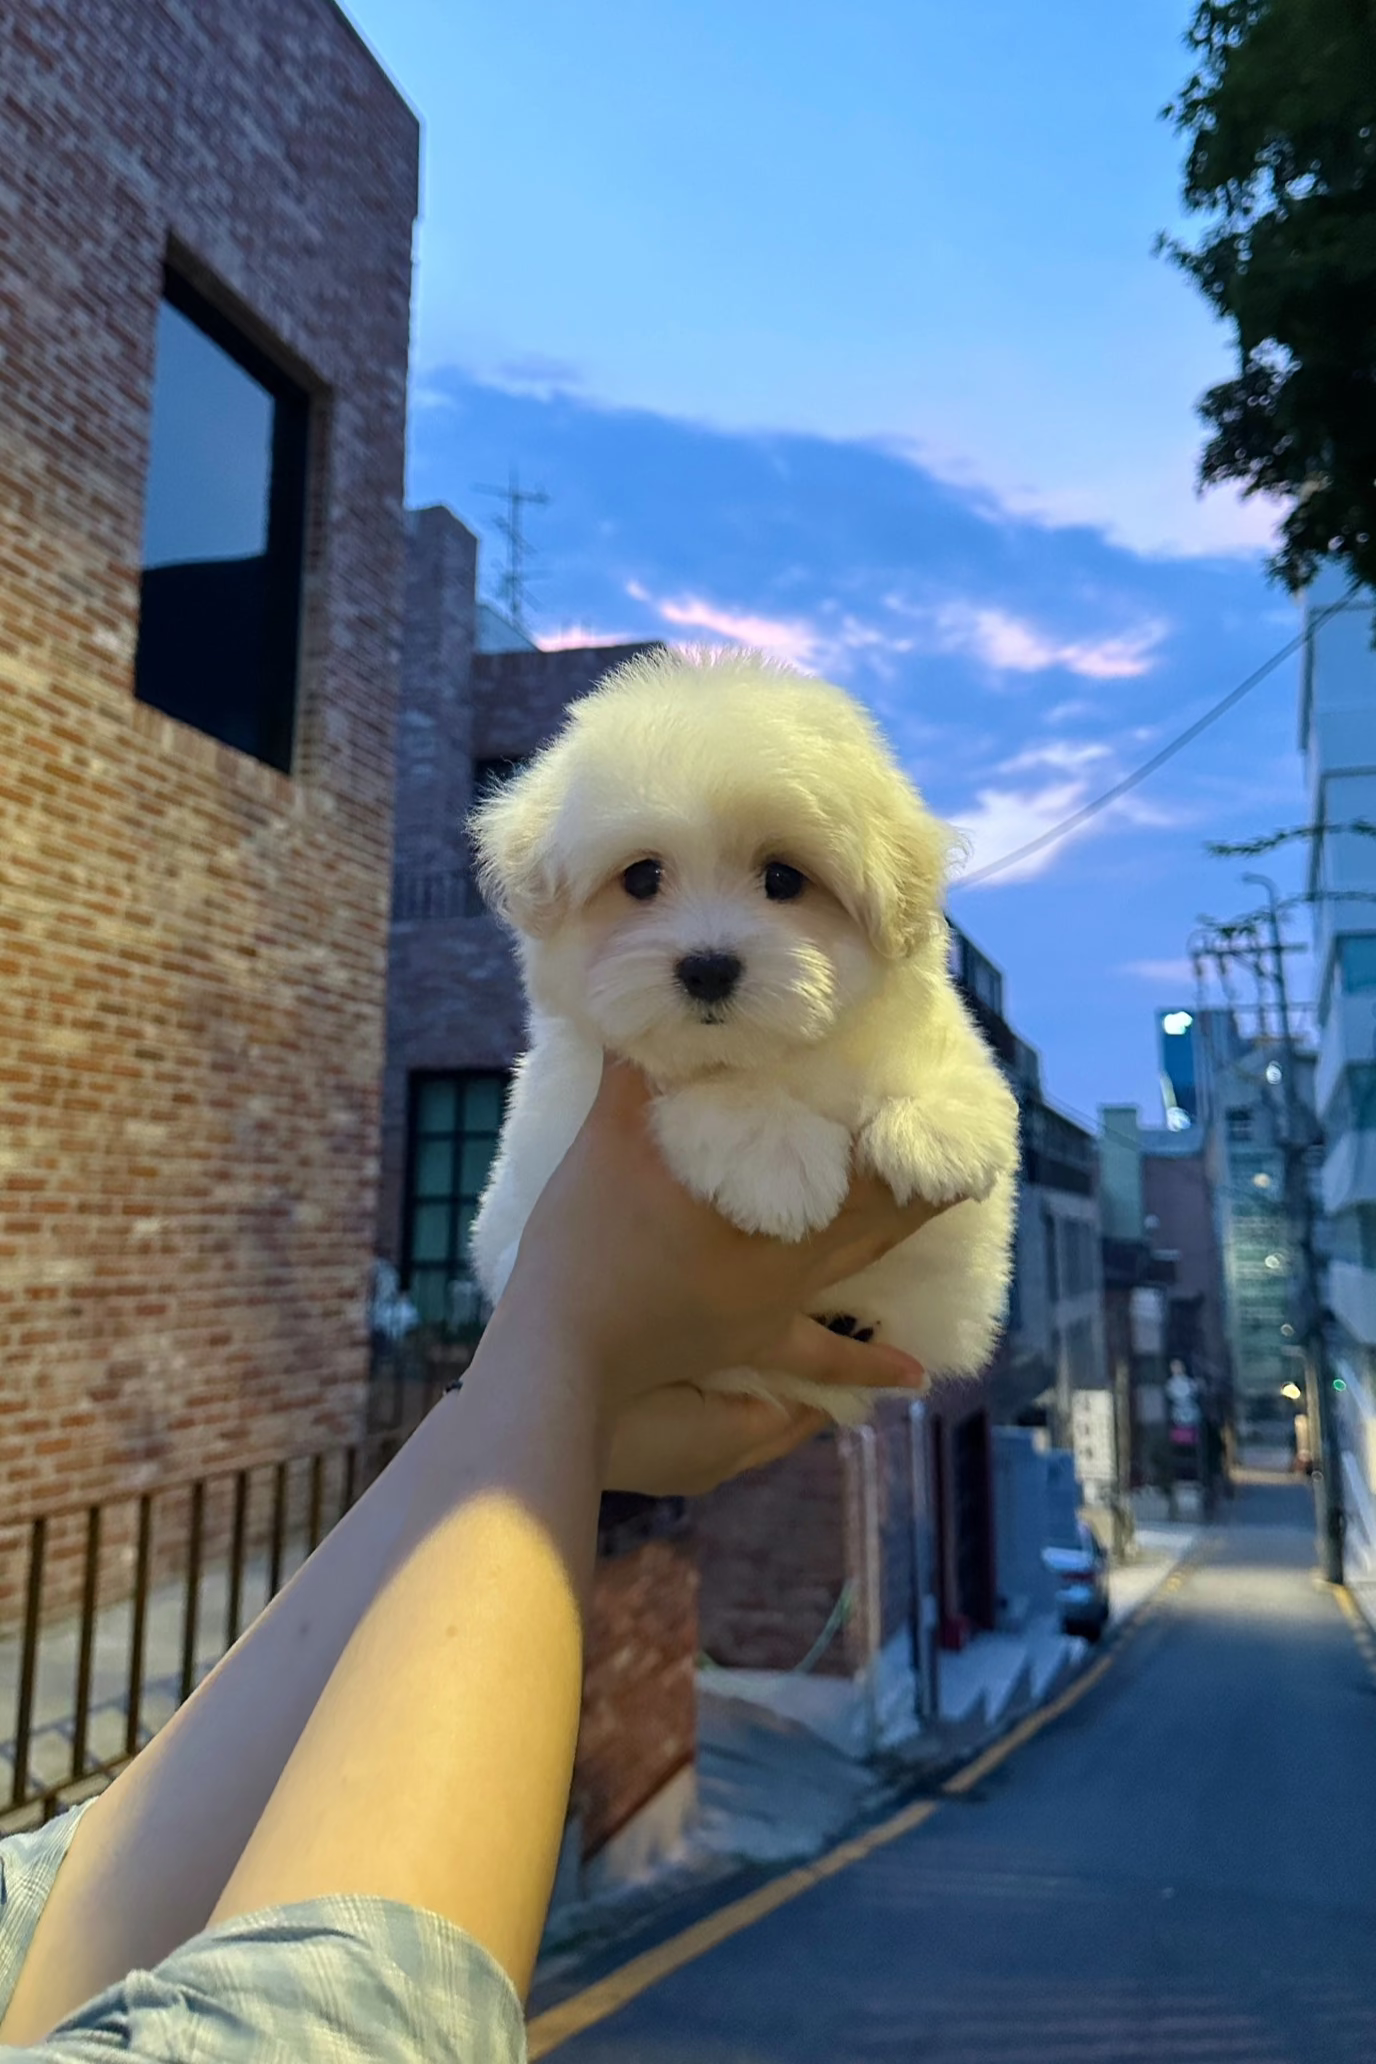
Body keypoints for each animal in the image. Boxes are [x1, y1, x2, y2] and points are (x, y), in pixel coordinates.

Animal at [468, 643, 1019, 1420]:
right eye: (642, 878)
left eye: (783, 878)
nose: (707, 967)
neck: (773, 1052)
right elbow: (710, 1097)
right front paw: (777, 1155)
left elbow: (956, 1057)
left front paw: (939, 1127)